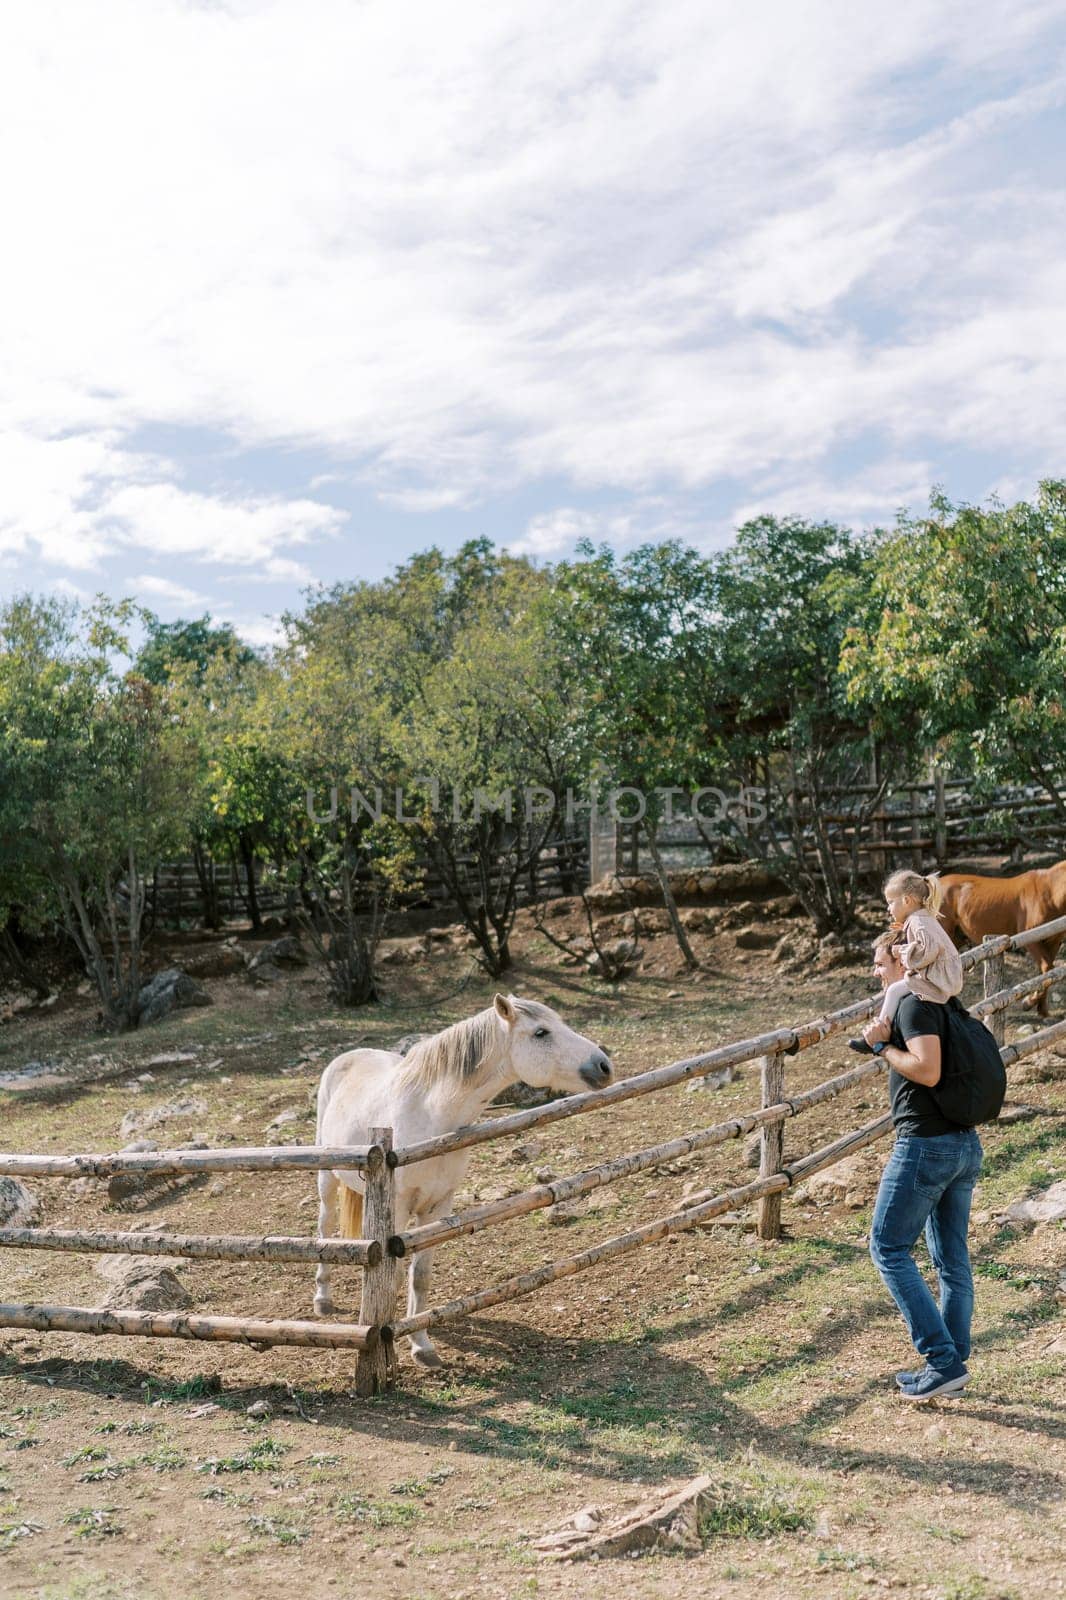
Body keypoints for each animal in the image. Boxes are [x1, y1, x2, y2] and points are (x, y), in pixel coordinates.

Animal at [308, 992, 605, 1369]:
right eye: (541, 1032)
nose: (603, 1065)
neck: (433, 1116)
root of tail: (347, 1057)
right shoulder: (399, 1209)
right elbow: (393, 1276)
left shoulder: (438, 1205)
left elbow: (420, 1277)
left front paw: (422, 1345)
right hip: (327, 1179)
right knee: (324, 1227)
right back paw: (322, 1298)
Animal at [934, 864, 1062, 1011]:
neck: (1050, 892)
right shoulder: (1032, 939)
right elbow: (1046, 968)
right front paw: (1029, 1002)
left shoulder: (1054, 940)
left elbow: (1047, 972)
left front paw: (1041, 1008)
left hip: (956, 938)